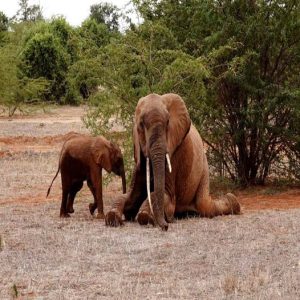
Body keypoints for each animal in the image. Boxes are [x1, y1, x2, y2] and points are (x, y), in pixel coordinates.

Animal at [105, 93, 241, 230]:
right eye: (141, 124)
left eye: (168, 123)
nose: (166, 227)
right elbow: (128, 196)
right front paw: (112, 217)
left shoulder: (174, 154)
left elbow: (165, 195)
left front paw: (145, 217)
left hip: (204, 169)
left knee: (205, 206)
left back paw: (232, 201)